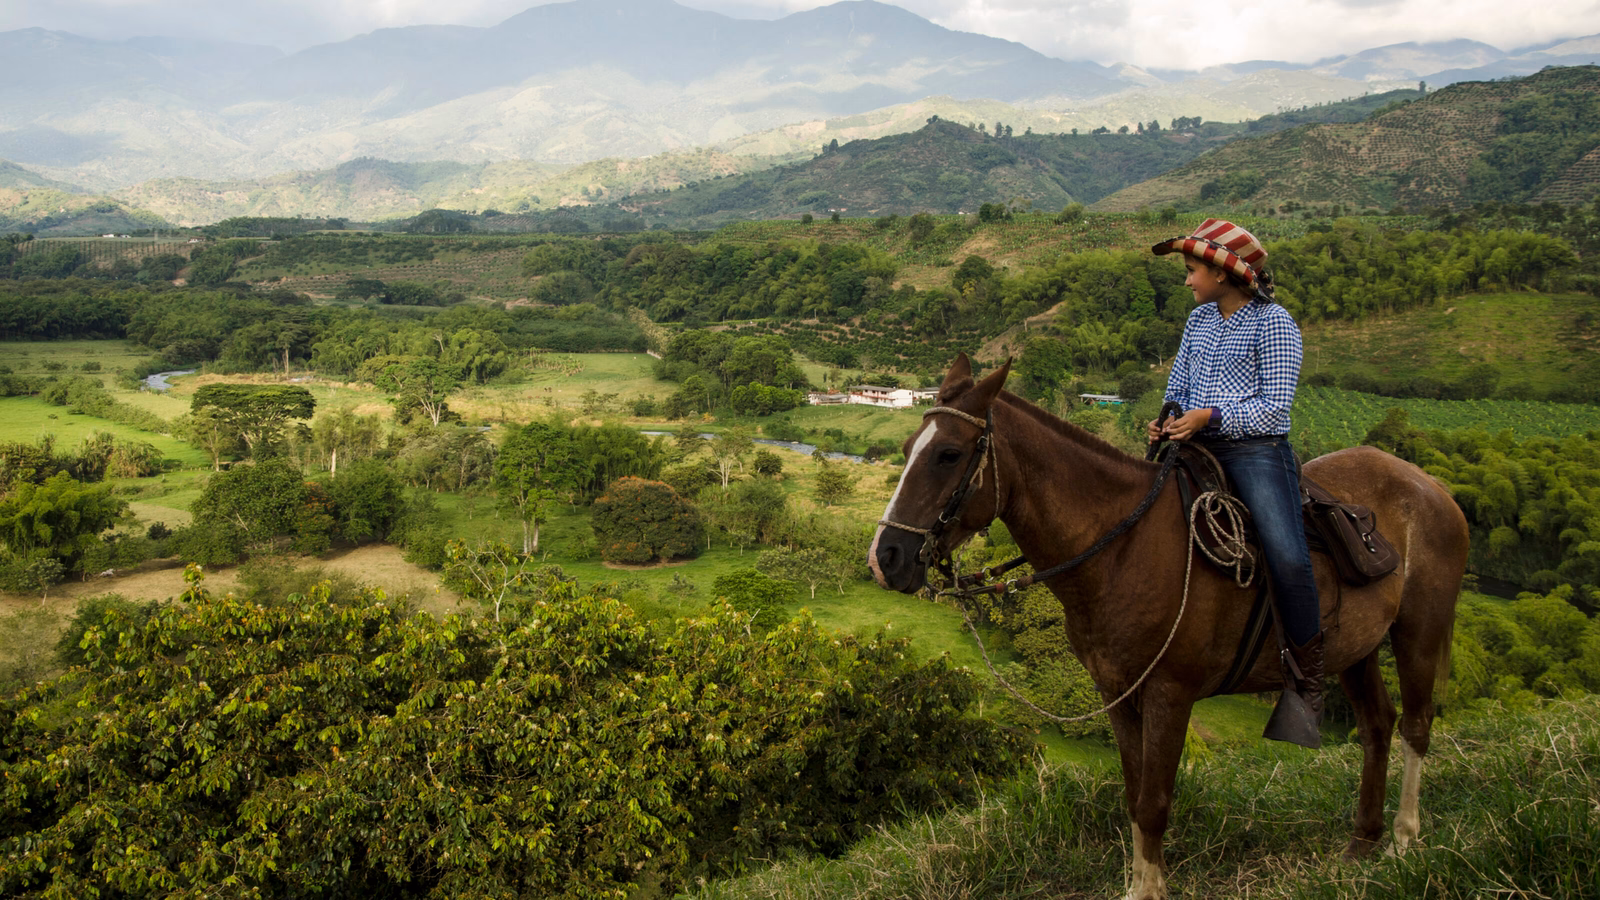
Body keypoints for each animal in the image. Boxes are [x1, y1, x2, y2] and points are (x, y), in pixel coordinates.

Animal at [868, 355, 1469, 900]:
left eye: (948, 454)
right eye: (906, 449)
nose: (886, 558)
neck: (1122, 547)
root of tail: (1430, 486)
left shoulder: (1169, 694)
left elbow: (1155, 803)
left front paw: (1151, 889)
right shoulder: (1115, 691)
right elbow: (1134, 797)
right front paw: (1138, 886)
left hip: (1418, 632)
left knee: (1416, 725)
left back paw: (1403, 842)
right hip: (1355, 649)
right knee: (1377, 725)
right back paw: (1362, 841)